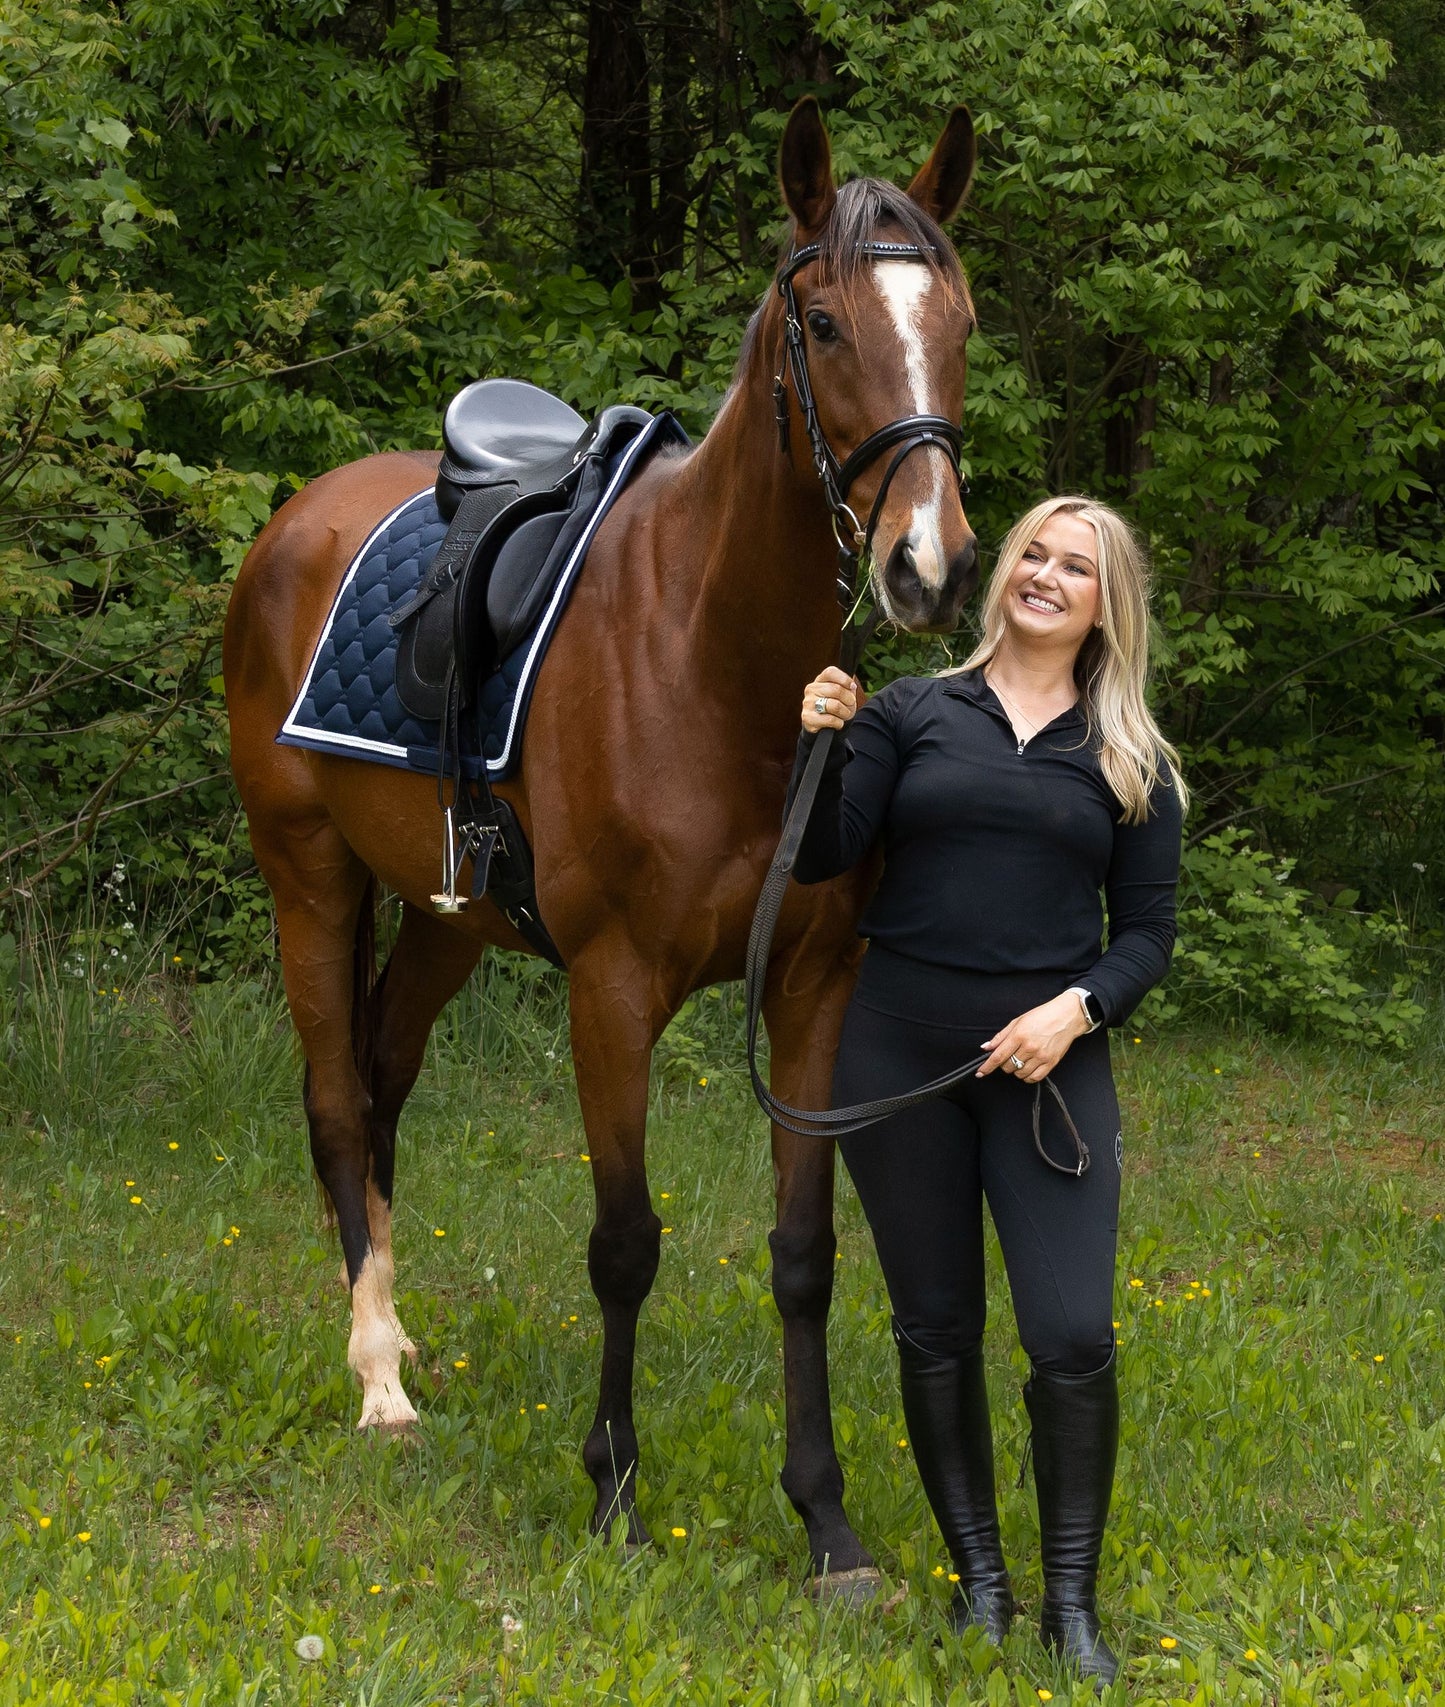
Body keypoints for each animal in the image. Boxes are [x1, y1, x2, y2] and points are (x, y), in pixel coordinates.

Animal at [220, 96, 975, 1584]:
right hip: (306, 874)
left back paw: (397, 1332)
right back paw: (376, 1378)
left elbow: (805, 1251)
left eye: (962, 320)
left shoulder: (813, 988)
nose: (930, 563)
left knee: (382, 1085)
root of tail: (299, 517)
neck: (711, 659)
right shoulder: (613, 991)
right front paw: (616, 1490)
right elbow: (625, 1243)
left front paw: (827, 1523)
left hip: (447, 916)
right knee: (337, 1103)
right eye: (821, 324)